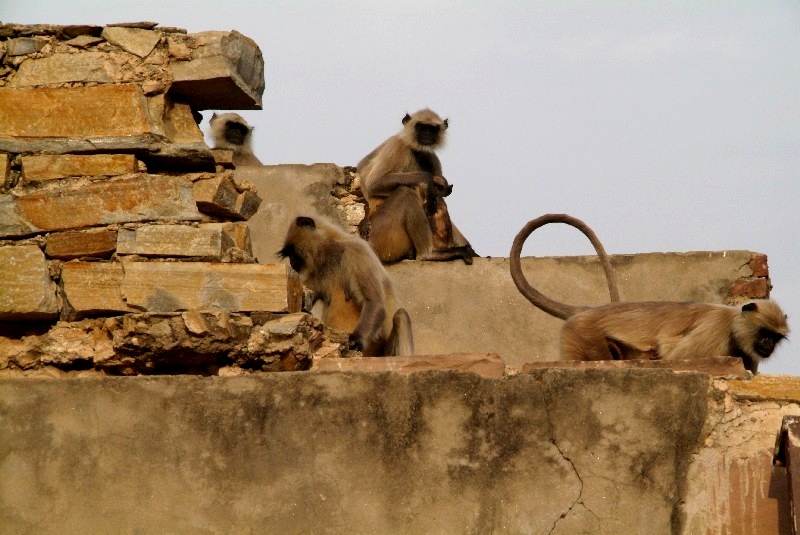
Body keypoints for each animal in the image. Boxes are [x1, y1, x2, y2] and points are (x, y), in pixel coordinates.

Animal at [278, 214, 416, 356]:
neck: (331, 251)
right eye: (290, 256)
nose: (292, 262)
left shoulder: (356, 252)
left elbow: (374, 303)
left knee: (401, 315)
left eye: (294, 254)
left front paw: (358, 339)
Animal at [356, 109, 476, 266]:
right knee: (406, 192)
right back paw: (428, 254)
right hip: (378, 236)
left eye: (432, 129)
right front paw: (426, 179)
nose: (427, 133)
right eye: (421, 127)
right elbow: (374, 183)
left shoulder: (433, 158)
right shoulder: (397, 145)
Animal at [510, 211, 792, 374]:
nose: (768, 345)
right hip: (583, 337)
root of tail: (591, 311)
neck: (734, 322)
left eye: (775, 338)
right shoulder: (716, 330)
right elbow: (679, 357)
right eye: (765, 334)